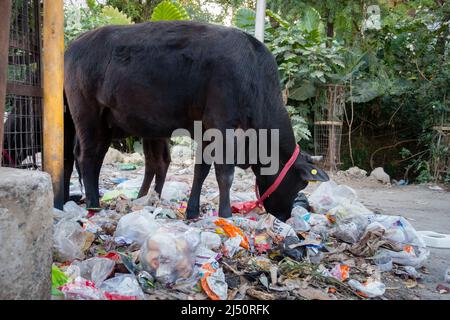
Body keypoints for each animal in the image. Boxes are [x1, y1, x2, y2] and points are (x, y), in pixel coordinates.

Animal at [64, 21, 326, 221]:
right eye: (301, 185)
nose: (284, 216)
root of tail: (73, 45)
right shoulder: (222, 125)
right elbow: (225, 174)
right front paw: (226, 214)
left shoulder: (206, 129)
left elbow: (201, 169)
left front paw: (192, 211)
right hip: (87, 114)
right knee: (87, 157)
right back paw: (93, 204)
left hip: (102, 124)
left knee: (90, 159)